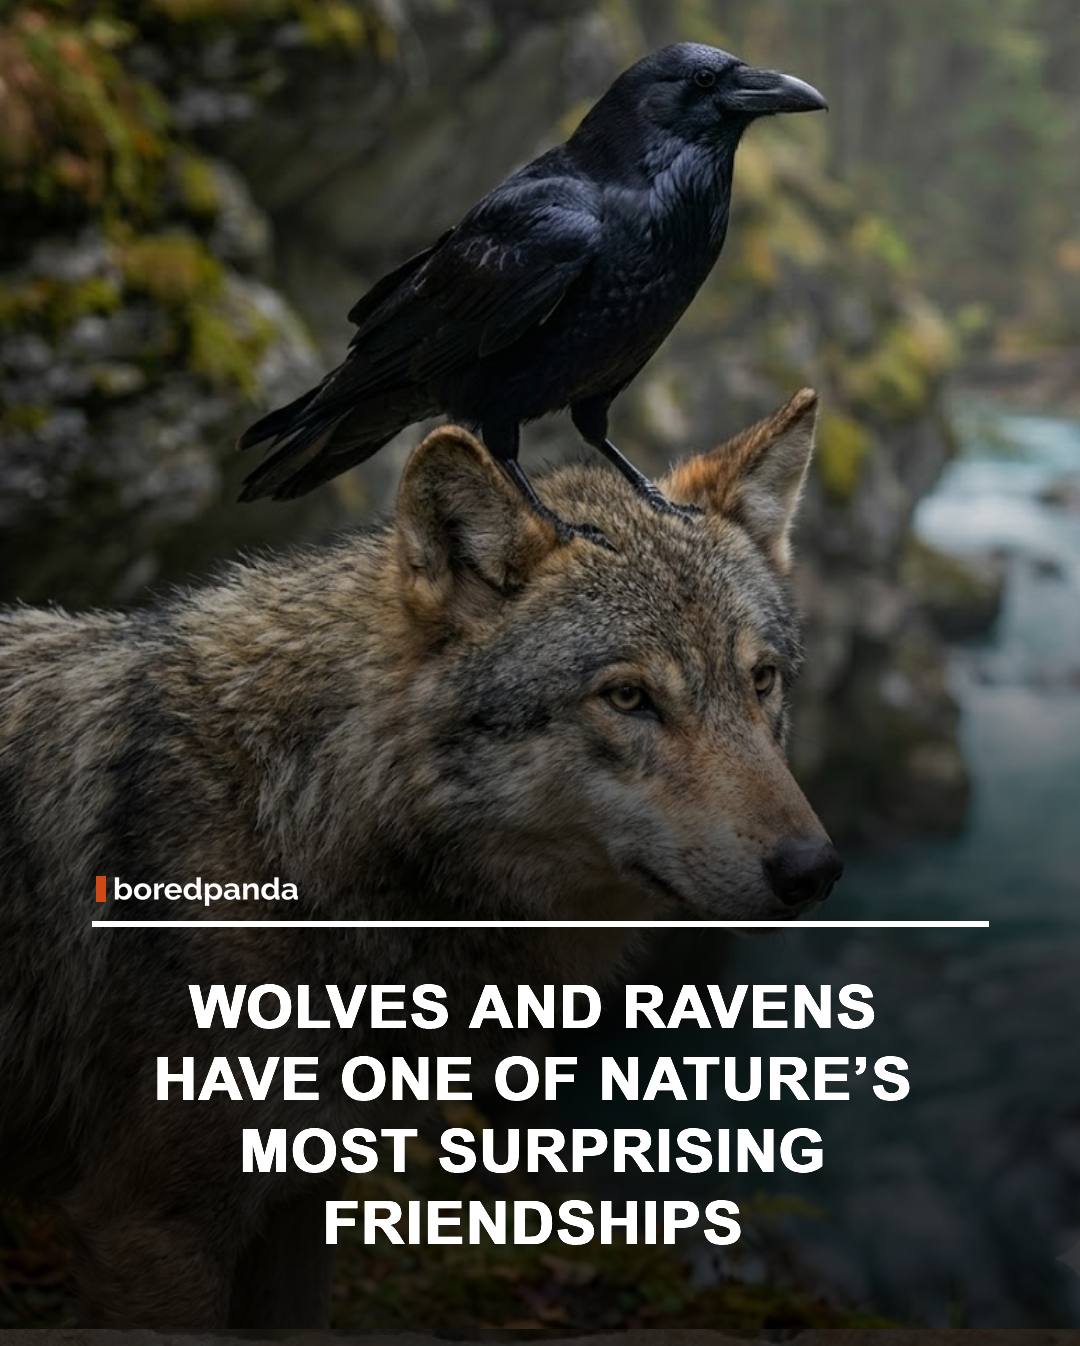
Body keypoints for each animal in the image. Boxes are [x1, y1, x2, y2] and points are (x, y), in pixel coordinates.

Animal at [0, 388, 839, 1328]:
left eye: (761, 681)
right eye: (629, 697)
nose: (813, 870)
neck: (297, 821)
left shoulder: (297, 1203)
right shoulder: (150, 1228)